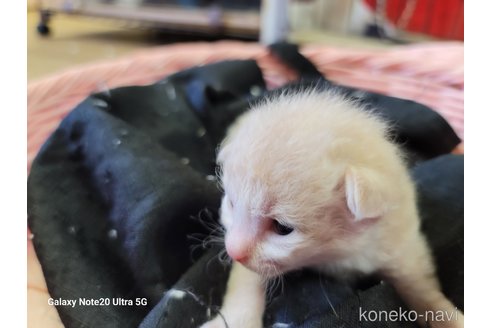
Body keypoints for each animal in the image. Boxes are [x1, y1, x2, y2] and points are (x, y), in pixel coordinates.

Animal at [198, 89, 464, 328]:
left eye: (282, 228)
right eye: (231, 204)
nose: (232, 252)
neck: (339, 252)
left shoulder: (399, 242)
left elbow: (420, 285)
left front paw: (447, 316)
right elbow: (245, 281)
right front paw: (234, 320)